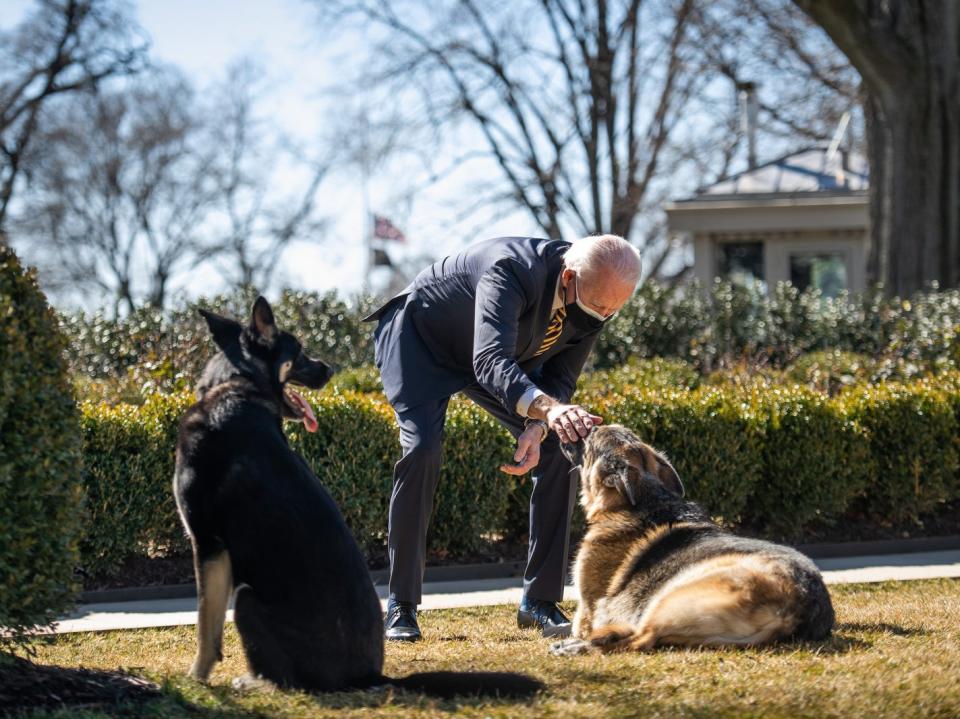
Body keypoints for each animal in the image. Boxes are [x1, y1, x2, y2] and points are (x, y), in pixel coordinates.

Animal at [172, 298, 540, 696]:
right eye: (299, 351)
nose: (330, 369)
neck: (236, 385)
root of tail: (370, 675)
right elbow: (209, 626)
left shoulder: (208, 543)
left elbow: (206, 626)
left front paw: (195, 678)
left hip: (246, 599)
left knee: (289, 680)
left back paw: (253, 683)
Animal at [552, 428, 836, 660]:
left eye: (590, 435)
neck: (646, 498)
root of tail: (798, 608)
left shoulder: (587, 611)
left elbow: (580, 624)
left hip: (670, 598)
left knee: (640, 640)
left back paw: (577, 648)